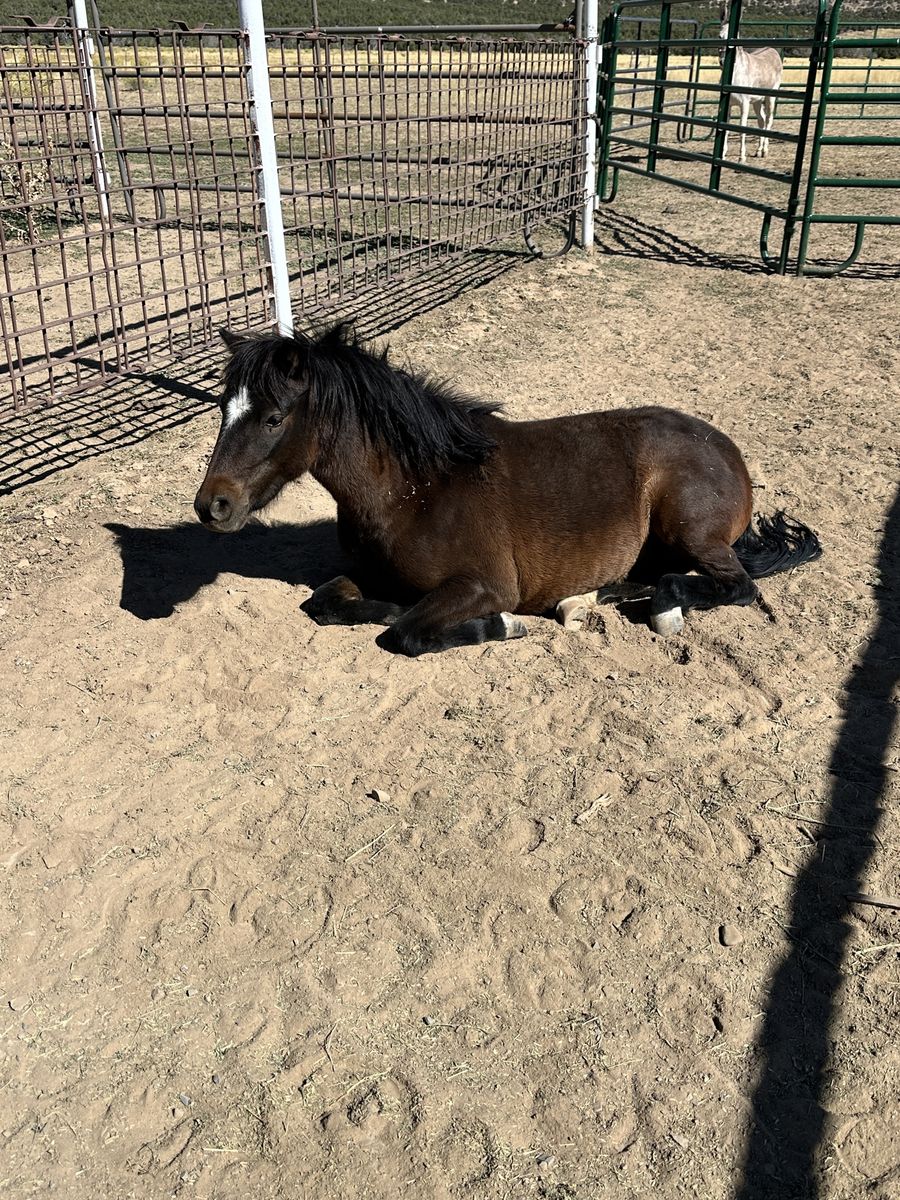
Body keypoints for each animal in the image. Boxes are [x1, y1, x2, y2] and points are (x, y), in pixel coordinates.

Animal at [193, 324, 821, 657]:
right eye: (223, 408)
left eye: (274, 418)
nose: (212, 506)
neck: (413, 490)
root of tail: (729, 451)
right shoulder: (368, 575)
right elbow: (326, 603)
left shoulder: (485, 585)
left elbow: (406, 632)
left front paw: (503, 624)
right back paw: (590, 598)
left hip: (689, 528)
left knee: (733, 585)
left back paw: (659, 609)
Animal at [718, 5, 783, 163]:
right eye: (719, 36)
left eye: (735, 37)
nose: (722, 62)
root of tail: (772, 50)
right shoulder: (728, 105)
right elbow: (726, 128)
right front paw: (722, 153)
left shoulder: (744, 104)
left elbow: (742, 128)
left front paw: (741, 157)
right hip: (757, 101)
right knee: (761, 120)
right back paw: (758, 150)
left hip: (770, 98)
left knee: (769, 120)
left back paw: (764, 150)